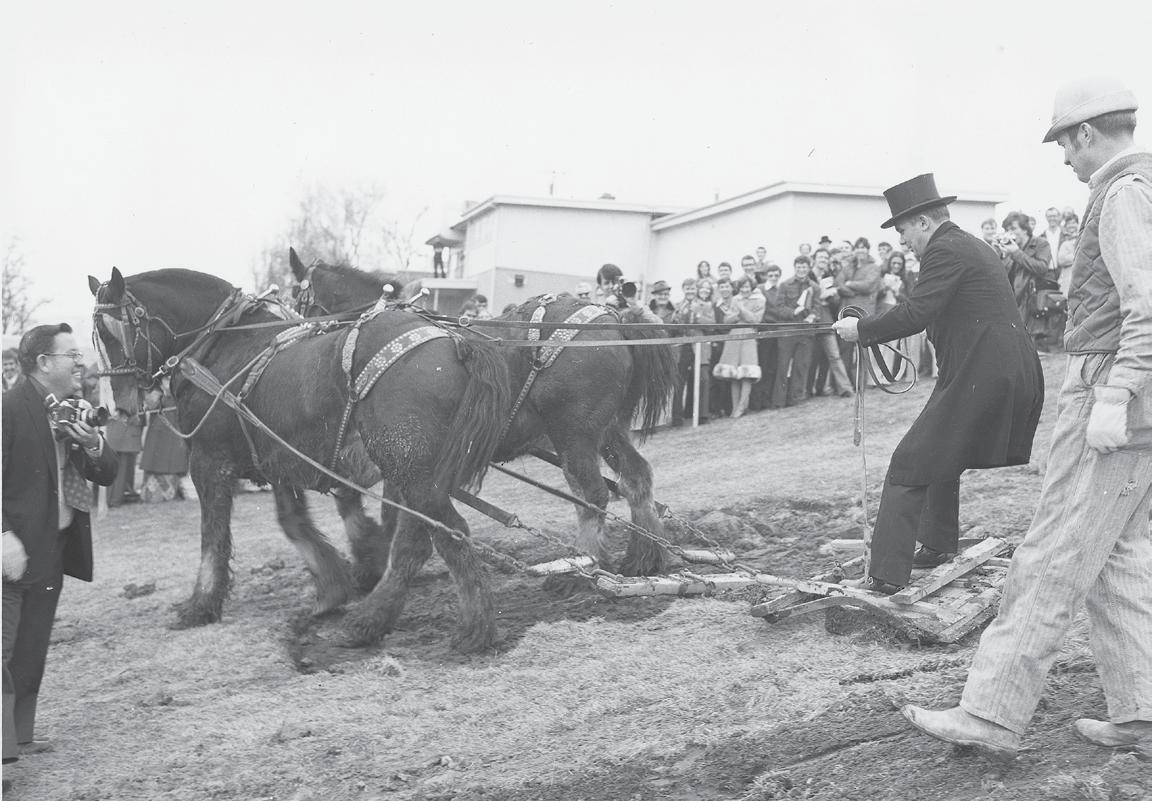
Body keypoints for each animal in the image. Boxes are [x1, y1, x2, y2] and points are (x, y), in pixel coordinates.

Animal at [89, 267, 512, 652]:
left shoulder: (209, 464)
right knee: (420, 539)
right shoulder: (278, 460)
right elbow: (293, 523)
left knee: (447, 535)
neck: (221, 347)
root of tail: (456, 346)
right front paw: (333, 585)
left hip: (411, 471)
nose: (121, 406)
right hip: (412, 473)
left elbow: (213, 538)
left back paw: (471, 627)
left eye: (114, 331)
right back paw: (380, 618)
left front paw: (201, 604)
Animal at [288, 251, 679, 576]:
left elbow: (393, 513)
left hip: (575, 434)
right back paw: (645, 556)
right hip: (607, 430)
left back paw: (587, 564)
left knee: (593, 496)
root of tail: (616, 320)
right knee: (636, 478)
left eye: (296, 298)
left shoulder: (399, 456)